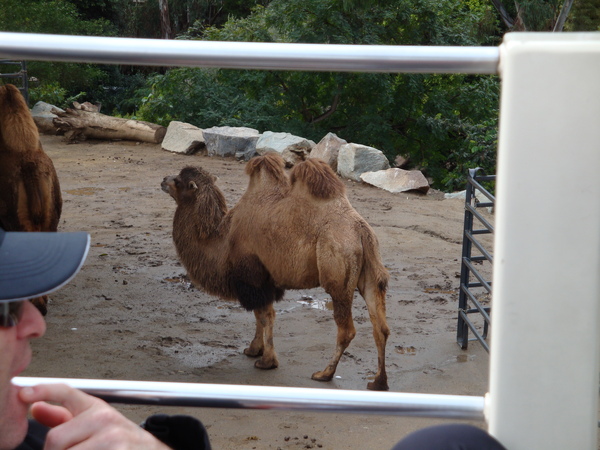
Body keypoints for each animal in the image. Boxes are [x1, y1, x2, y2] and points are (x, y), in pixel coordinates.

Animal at [162, 152, 392, 390]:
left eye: (178, 181)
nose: (163, 180)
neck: (222, 239)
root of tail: (360, 231)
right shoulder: (262, 279)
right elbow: (258, 314)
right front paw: (253, 349)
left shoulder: (253, 275)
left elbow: (266, 316)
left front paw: (267, 361)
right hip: (370, 273)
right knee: (381, 328)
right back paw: (378, 381)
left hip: (338, 271)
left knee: (347, 329)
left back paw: (325, 373)